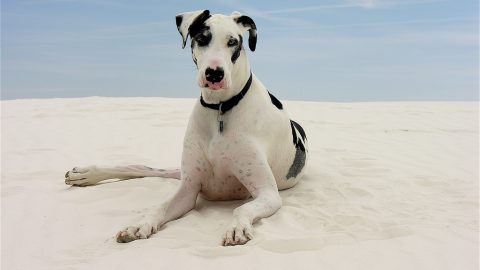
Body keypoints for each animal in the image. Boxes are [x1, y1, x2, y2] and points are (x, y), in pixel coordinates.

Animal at [64, 10, 308, 246]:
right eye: (202, 39)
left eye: (232, 42)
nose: (214, 73)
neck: (220, 109)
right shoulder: (188, 189)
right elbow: (159, 206)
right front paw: (139, 225)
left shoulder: (268, 193)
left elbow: (242, 208)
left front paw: (236, 228)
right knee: (141, 167)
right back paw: (86, 174)